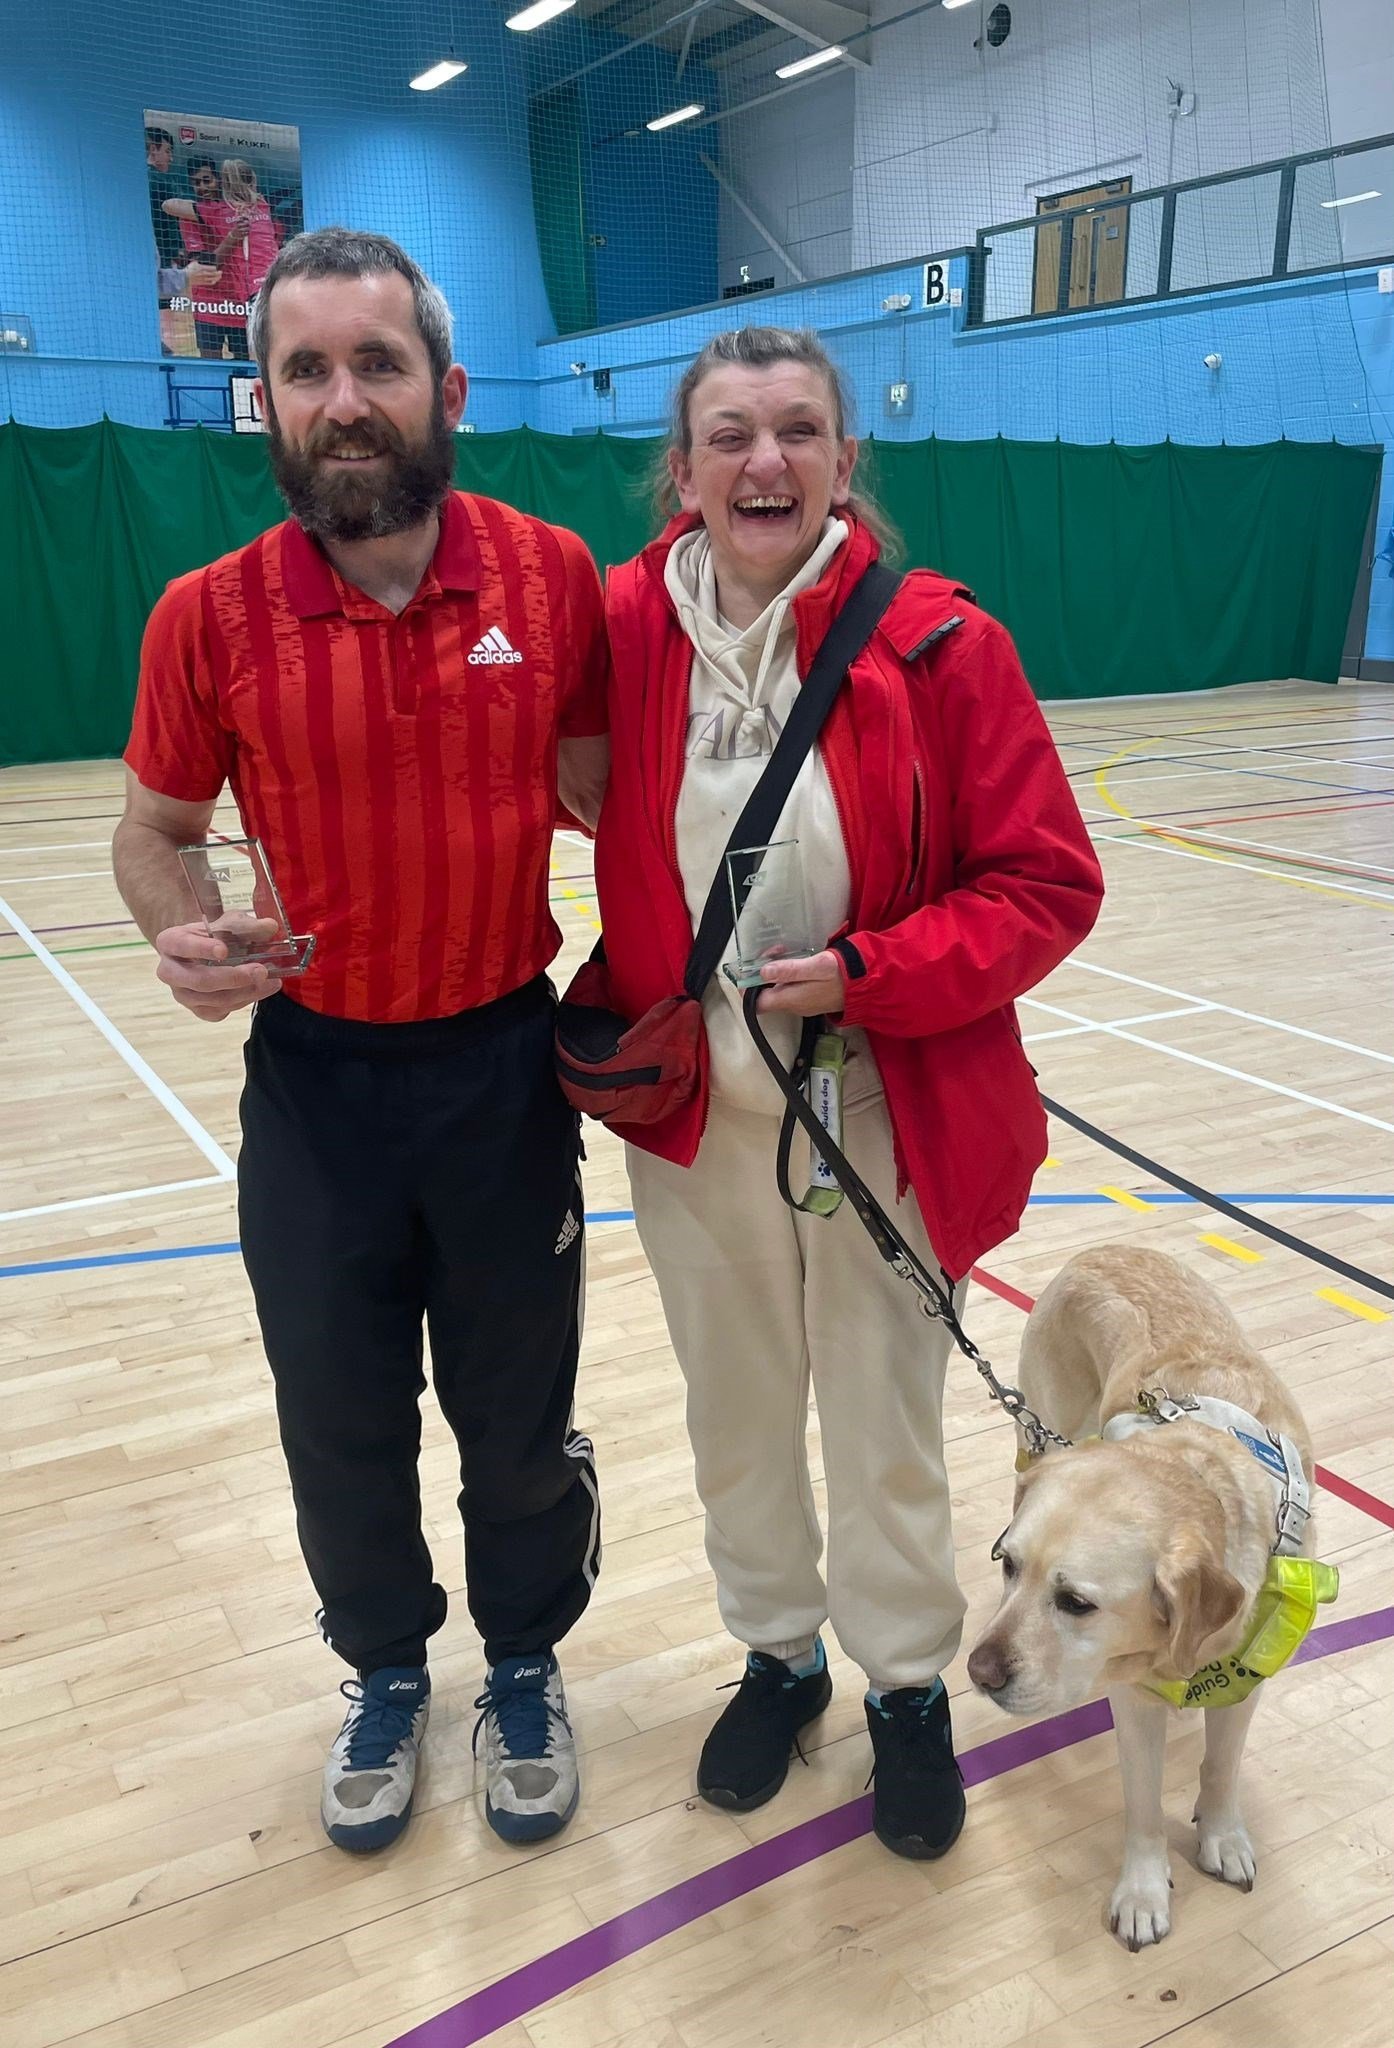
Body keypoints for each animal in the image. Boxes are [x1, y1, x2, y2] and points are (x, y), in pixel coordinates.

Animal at [962, 1245, 1334, 1949]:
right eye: (1009, 1566)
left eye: (1076, 1602)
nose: (979, 1673)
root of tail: (1101, 1250)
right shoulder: (1133, 1696)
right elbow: (1142, 1802)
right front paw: (1142, 1892)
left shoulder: (1250, 1672)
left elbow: (1221, 1766)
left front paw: (1222, 1834)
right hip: (1038, 1432)